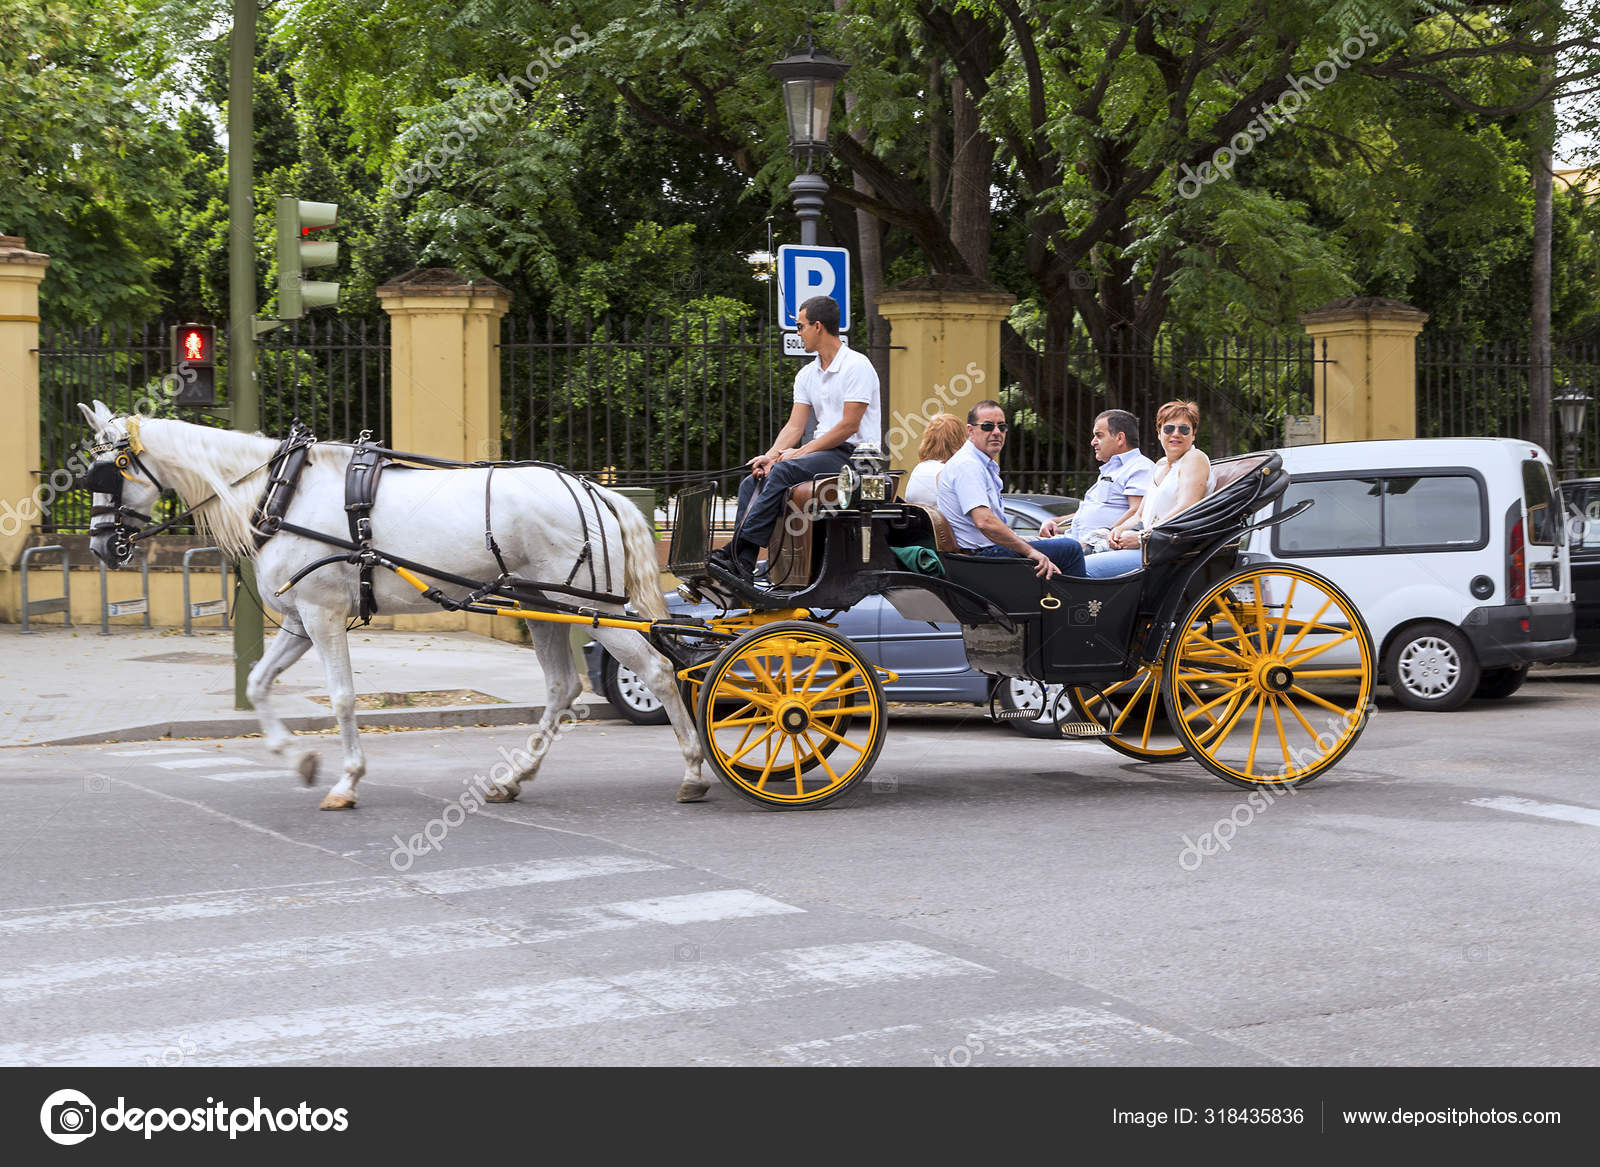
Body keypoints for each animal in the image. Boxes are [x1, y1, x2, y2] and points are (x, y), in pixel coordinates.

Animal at [76, 401, 709, 810]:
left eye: (109, 470)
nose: (101, 545)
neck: (279, 492)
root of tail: (596, 489)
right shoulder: (300, 621)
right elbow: (257, 683)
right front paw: (298, 759)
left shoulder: (324, 617)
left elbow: (341, 698)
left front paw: (347, 781)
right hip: (544, 607)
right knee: (562, 688)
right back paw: (514, 777)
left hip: (588, 607)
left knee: (657, 671)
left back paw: (693, 770)